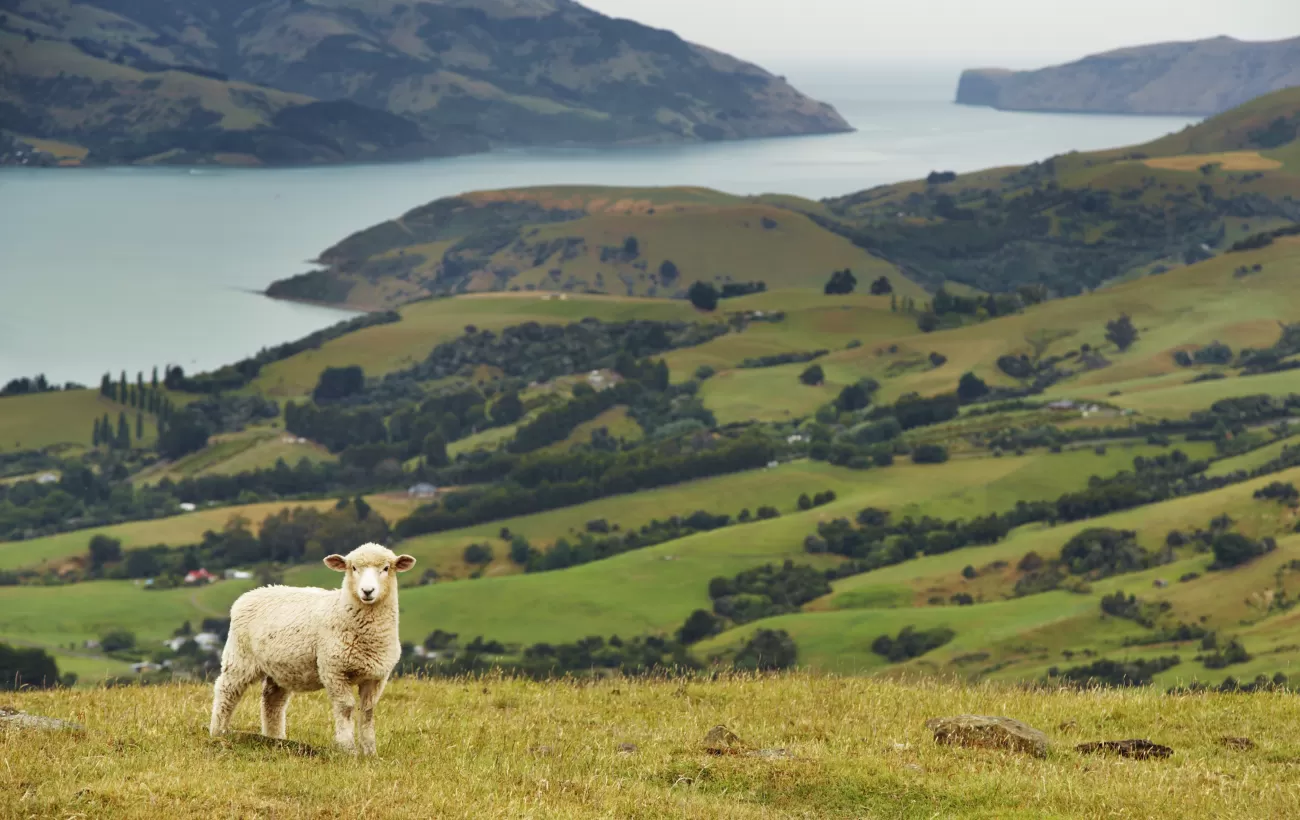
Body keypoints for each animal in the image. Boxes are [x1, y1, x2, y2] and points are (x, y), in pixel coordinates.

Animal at [209, 545, 416, 758]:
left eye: (386, 568)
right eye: (353, 568)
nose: (367, 591)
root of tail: (251, 593)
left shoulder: (376, 677)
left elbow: (368, 712)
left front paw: (370, 752)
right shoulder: (334, 670)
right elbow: (346, 708)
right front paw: (348, 749)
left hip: (281, 668)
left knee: (272, 701)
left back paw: (275, 739)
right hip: (240, 657)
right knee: (226, 691)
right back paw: (218, 732)